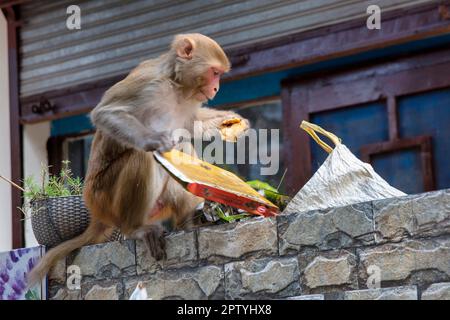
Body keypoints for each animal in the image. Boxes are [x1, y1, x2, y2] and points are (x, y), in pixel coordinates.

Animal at [28, 32, 251, 284]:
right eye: (215, 72)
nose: (215, 88)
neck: (176, 86)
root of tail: (96, 213)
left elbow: (192, 124)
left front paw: (233, 121)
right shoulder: (148, 83)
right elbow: (106, 113)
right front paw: (154, 141)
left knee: (182, 146)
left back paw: (189, 221)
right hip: (105, 199)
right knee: (143, 157)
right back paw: (135, 228)